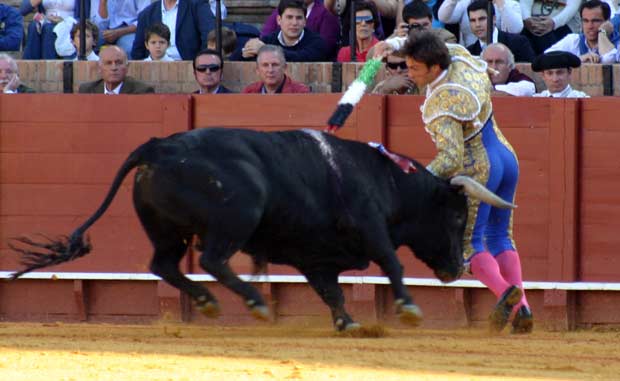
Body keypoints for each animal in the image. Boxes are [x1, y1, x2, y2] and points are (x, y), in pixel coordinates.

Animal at [10, 127, 512, 330]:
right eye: (456, 216)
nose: (456, 268)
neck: (385, 178)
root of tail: (156, 147)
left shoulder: (315, 257)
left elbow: (330, 291)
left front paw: (348, 323)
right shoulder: (371, 227)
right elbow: (392, 262)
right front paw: (408, 308)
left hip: (167, 230)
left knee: (165, 264)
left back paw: (209, 303)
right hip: (239, 214)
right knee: (212, 259)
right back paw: (253, 303)